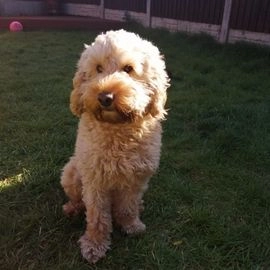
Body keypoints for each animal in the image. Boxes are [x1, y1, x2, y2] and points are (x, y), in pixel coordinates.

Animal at [61, 29, 170, 264]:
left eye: (128, 69)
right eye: (98, 68)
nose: (105, 97)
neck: (117, 129)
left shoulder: (136, 178)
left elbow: (128, 207)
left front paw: (131, 226)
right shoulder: (95, 180)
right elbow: (97, 216)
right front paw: (94, 245)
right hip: (71, 172)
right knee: (78, 199)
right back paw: (73, 208)